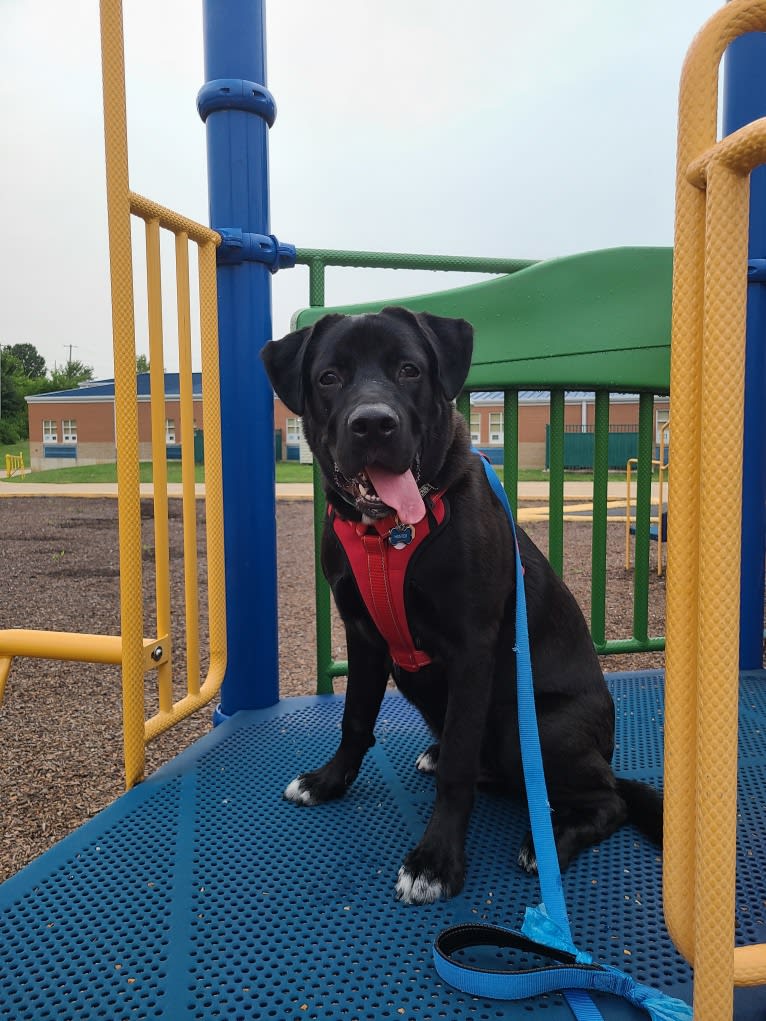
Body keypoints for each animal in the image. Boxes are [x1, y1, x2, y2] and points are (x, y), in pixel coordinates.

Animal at [261, 306, 661, 906]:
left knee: (607, 800)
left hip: (532, 725)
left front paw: (436, 860)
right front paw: (329, 782)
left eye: (409, 369)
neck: (390, 534)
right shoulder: (362, 634)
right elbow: (355, 718)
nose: (373, 424)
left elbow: (456, 766)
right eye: (329, 377)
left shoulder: (473, 650)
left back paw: (548, 842)